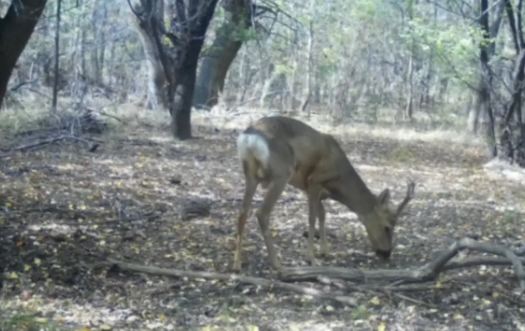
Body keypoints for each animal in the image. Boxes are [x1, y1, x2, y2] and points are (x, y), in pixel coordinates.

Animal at [232, 116, 414, 272]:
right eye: (387, 227)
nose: (386, 253)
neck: (339, 180)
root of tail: (249, 137)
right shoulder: (314, 181)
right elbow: (312, 217)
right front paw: (311, 258)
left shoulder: (312, 190)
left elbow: (323, 214)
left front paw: (324, 251)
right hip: (282, 172)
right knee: (262, 213)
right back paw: (276, 263)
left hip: (251, 173)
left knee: (242, 212)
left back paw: (238, 263)